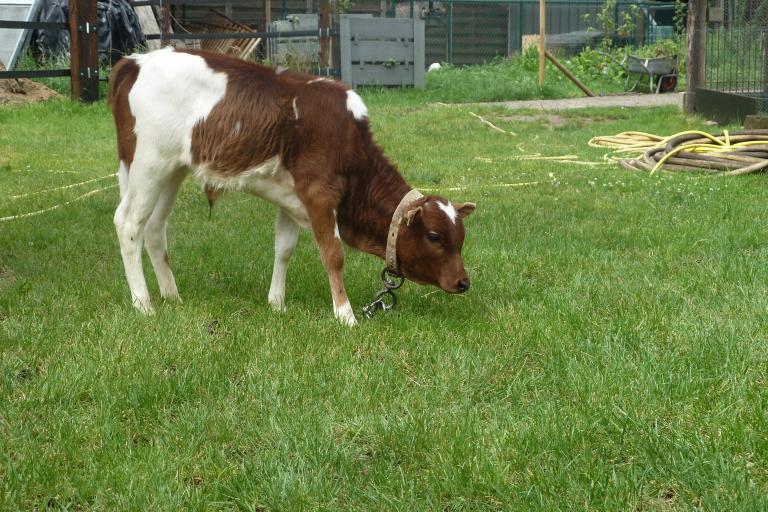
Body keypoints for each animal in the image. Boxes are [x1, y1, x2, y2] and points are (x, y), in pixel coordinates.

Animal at [105, 48, 472, 324]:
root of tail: (135, 61)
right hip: (149, 162)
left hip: (172, 169)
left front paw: (277, 304)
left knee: (154, 227)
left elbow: (284, 249)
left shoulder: (292, 197)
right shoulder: (319, 193)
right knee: (129, 223)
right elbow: (333, 253)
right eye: (434, 236)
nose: (464, 282)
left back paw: (172, 296)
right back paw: (143, 304)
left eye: (461, 237)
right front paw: (346, 314)